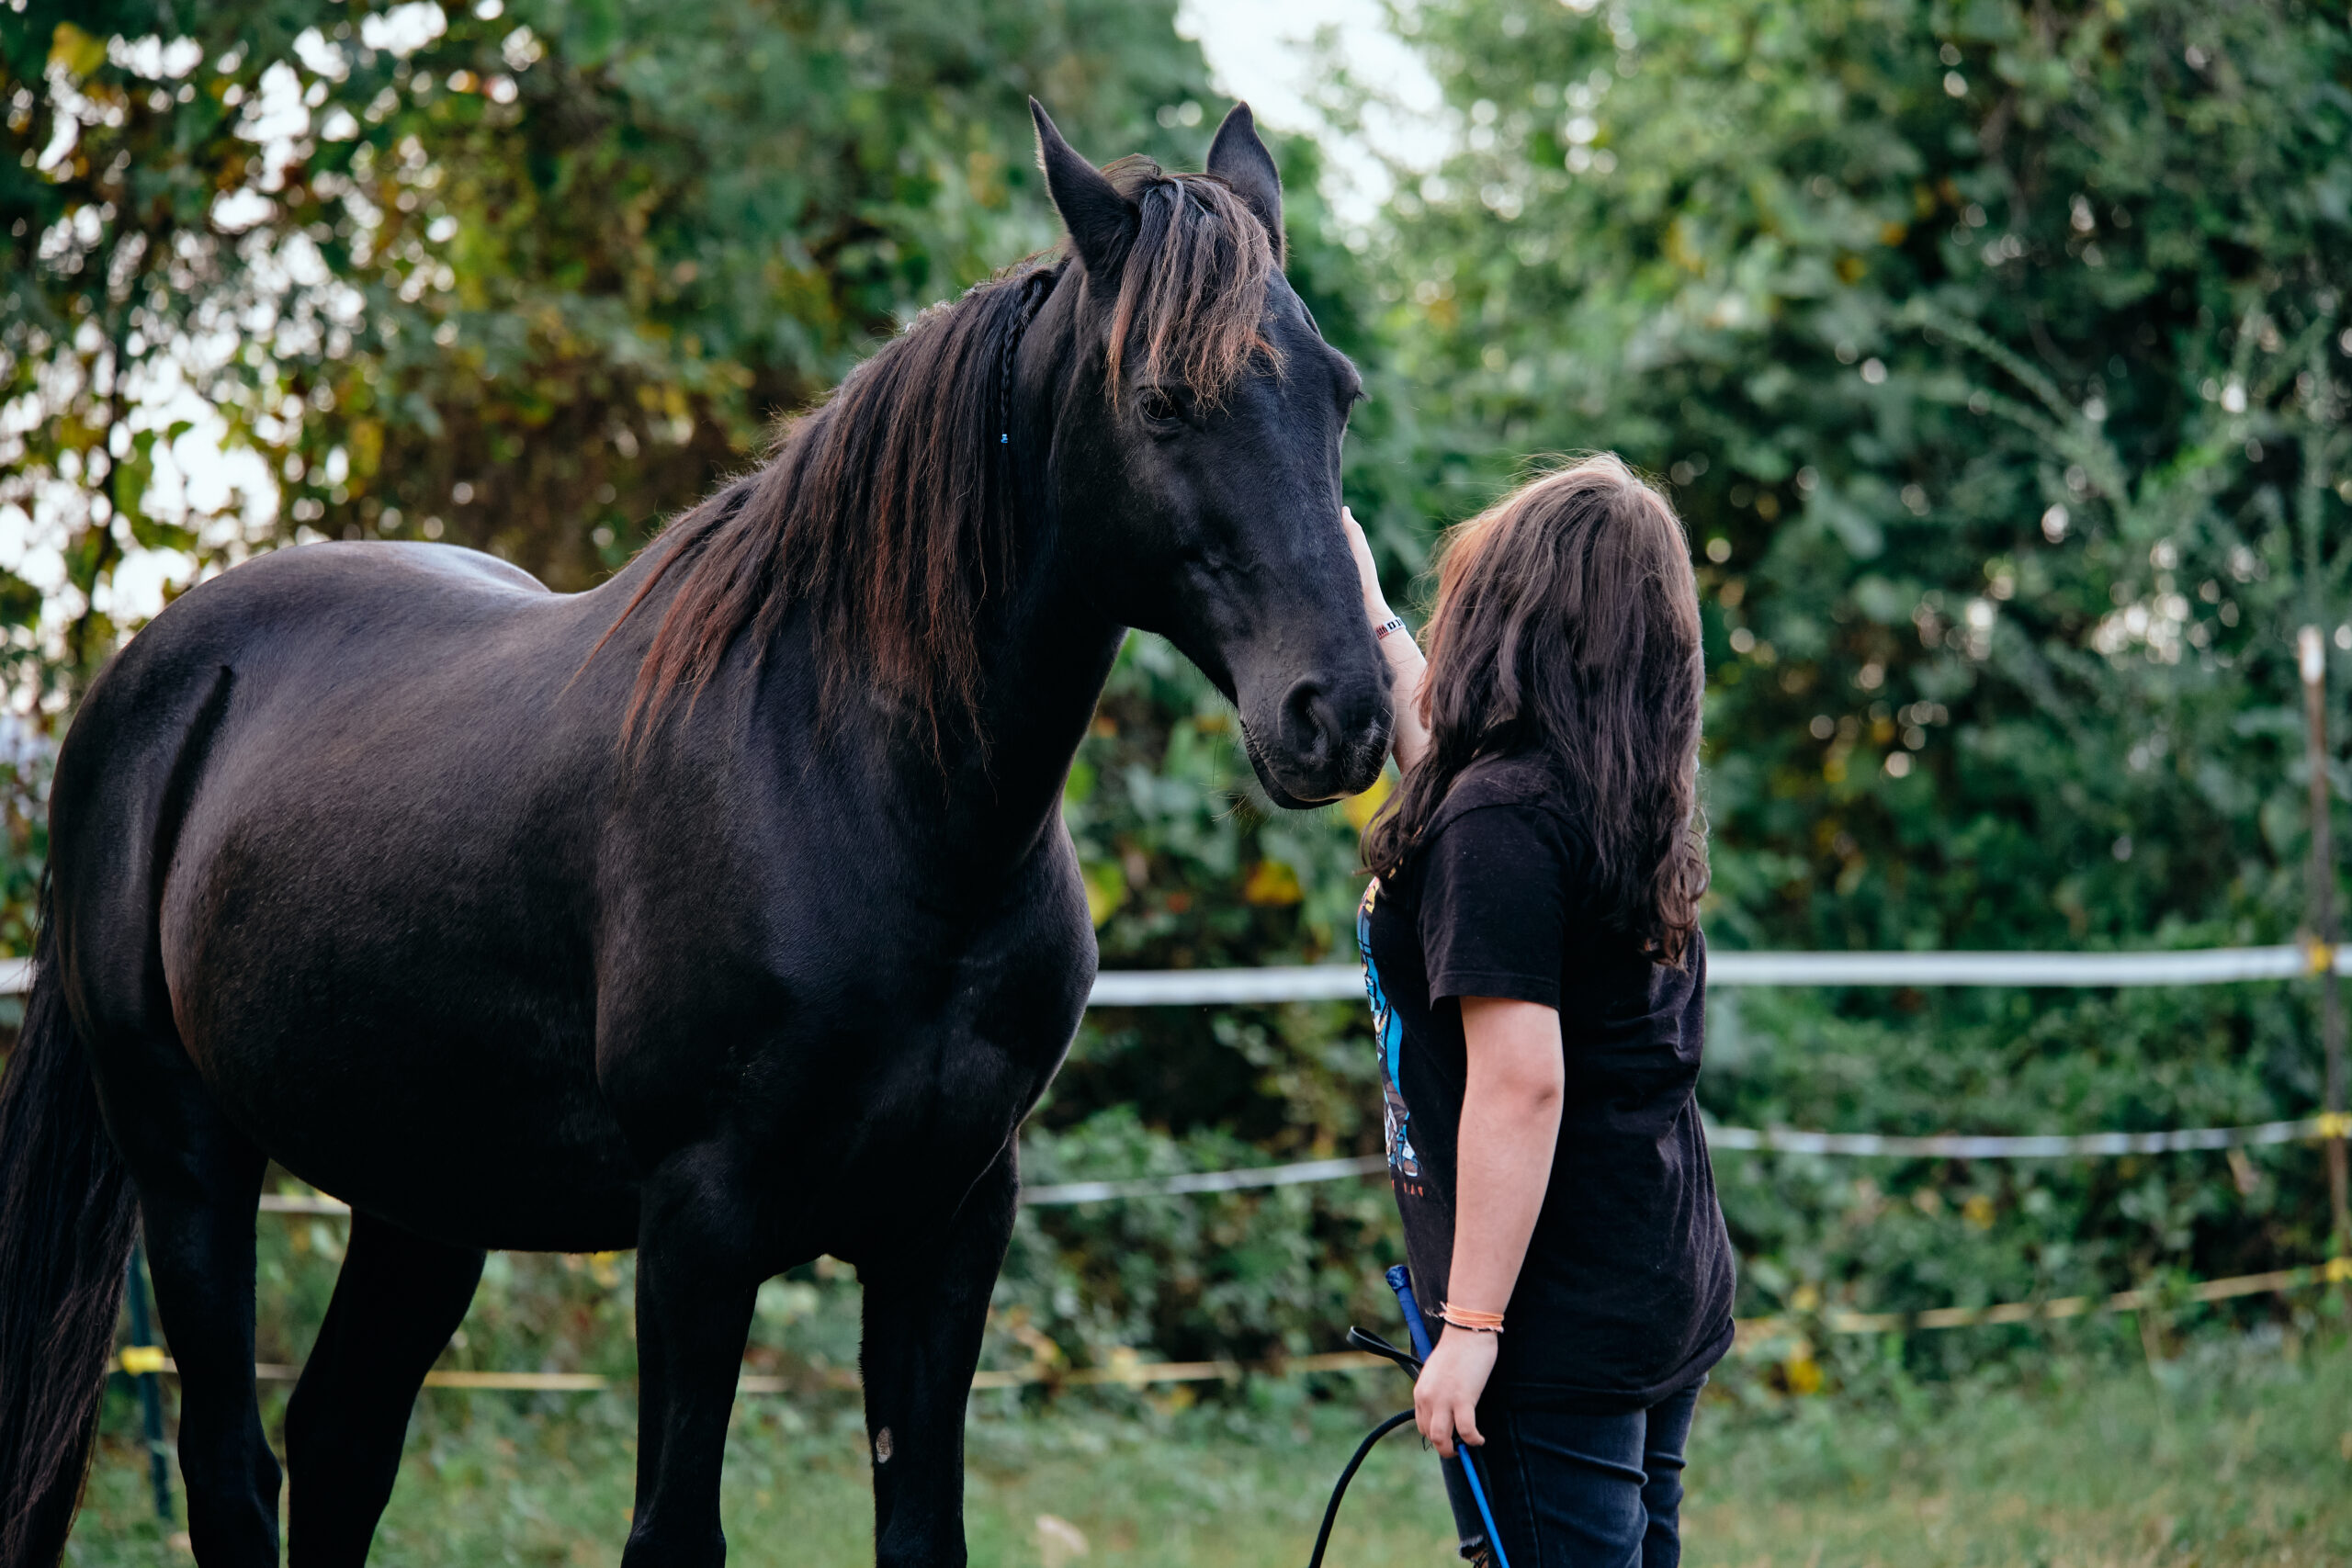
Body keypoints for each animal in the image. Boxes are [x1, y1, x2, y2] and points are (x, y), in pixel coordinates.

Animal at [0, 104, 1383, 1561]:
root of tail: (149, 673)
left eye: (1336, 393)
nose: (1338, 713)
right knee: (232, 1464)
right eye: (1163, 400)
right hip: (188, 1158)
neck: (871, 796)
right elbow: (673, 1527)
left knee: (339, 1442)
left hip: (422, 1193)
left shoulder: (946, 1229)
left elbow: (921, 1527)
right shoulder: (700, 1229)